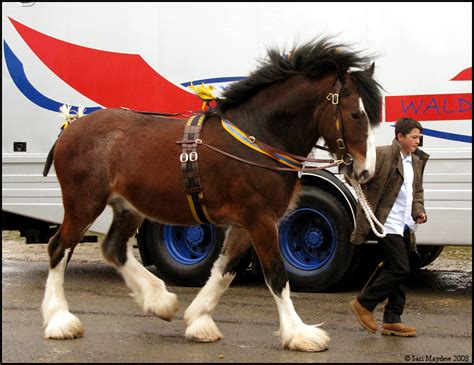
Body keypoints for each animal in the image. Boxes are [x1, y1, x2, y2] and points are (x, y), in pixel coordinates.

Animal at [40, 38, 382, 352]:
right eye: (355, 114)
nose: (365, 170)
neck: (260, 138)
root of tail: (70, 128)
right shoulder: (261, 220)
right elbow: (276, 274)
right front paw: (299, 333)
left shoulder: (245, 224)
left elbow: (224, 270)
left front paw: (199, 320)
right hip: (84, 204)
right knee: (59, 248)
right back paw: (59, 320)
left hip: (128, 207)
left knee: (114, 248)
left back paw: (159, 301)